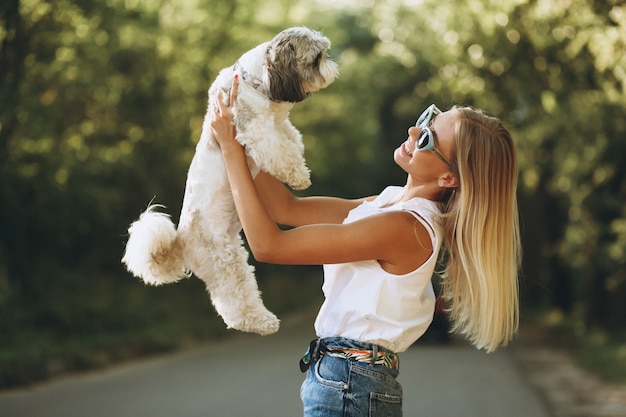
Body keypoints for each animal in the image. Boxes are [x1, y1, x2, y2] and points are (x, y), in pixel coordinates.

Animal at [121, 26, 336, 334]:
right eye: (317, 58)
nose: (332, 64)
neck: (254, 81)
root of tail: (180, 241)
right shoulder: (255, 129)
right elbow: (278, 151)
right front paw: (297, 175)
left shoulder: (278, 124)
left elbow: (291, 139)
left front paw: (299, 165)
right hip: (225, 260)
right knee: (234, 304)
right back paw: (262, 322)